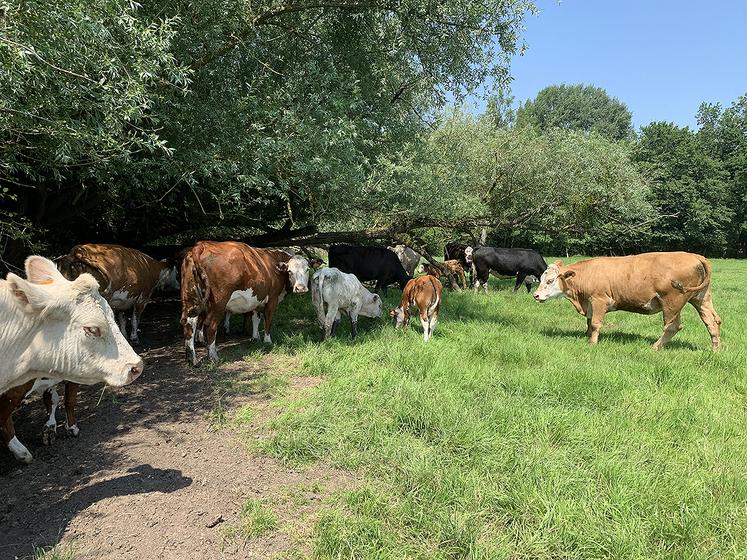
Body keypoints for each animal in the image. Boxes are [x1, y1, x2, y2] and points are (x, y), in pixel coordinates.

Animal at [1, 256, 142, 463]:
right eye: (92, 329)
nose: (136, 366)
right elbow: (68, 399)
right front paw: (71, 427)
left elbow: (51, 399)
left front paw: (50, 428)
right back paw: (21, 452)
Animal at [180, 241, 312, 365]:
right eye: (290, 271)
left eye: (307, 269)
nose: (300, 288)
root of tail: (202, 245)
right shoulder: (272, 300)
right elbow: (268, 320)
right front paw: (267, 341)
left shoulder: (257, 300)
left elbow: (255, 319)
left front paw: (255, 338)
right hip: (218, 303)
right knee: (210, 325)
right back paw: (213, 356)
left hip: (190, 299)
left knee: (189, 322)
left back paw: (191, 358)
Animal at [532, 252, 721, 351]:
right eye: (540, 279)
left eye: (550, 280)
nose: (536, 295)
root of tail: (695, 256)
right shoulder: (591, 303)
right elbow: (589, 322)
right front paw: (587, 337)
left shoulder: (599, 300)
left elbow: (595, 323)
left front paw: (592, 344)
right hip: (701, 298)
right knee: (712, 322)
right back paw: (715, 349)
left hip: (672, 302)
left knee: (672, 327)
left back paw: (655, 347)